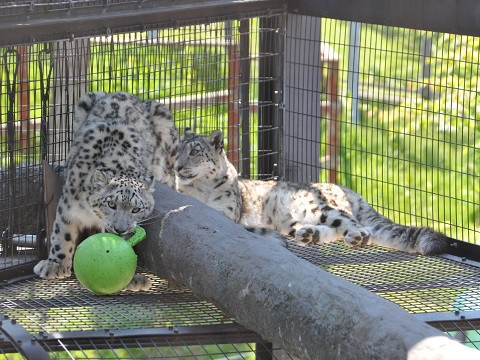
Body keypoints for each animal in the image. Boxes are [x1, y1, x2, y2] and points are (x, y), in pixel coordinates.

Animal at [34, 91, 179, 292]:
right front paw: (55, 265)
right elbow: (62, 231)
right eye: (111, 204)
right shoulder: (68, 206)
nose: (120, 228)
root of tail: (126, 93)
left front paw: (132, 278)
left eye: (136, 209)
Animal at [175, 129, 450, 256]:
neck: (199, 190)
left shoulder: (227, 212)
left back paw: (356, 236)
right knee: (334, 229)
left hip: (319, 207)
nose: (177, 166)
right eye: (177, 150)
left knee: (352, 223)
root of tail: (345, 189)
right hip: (292, 221)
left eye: (195, 151)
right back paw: (310, 235)